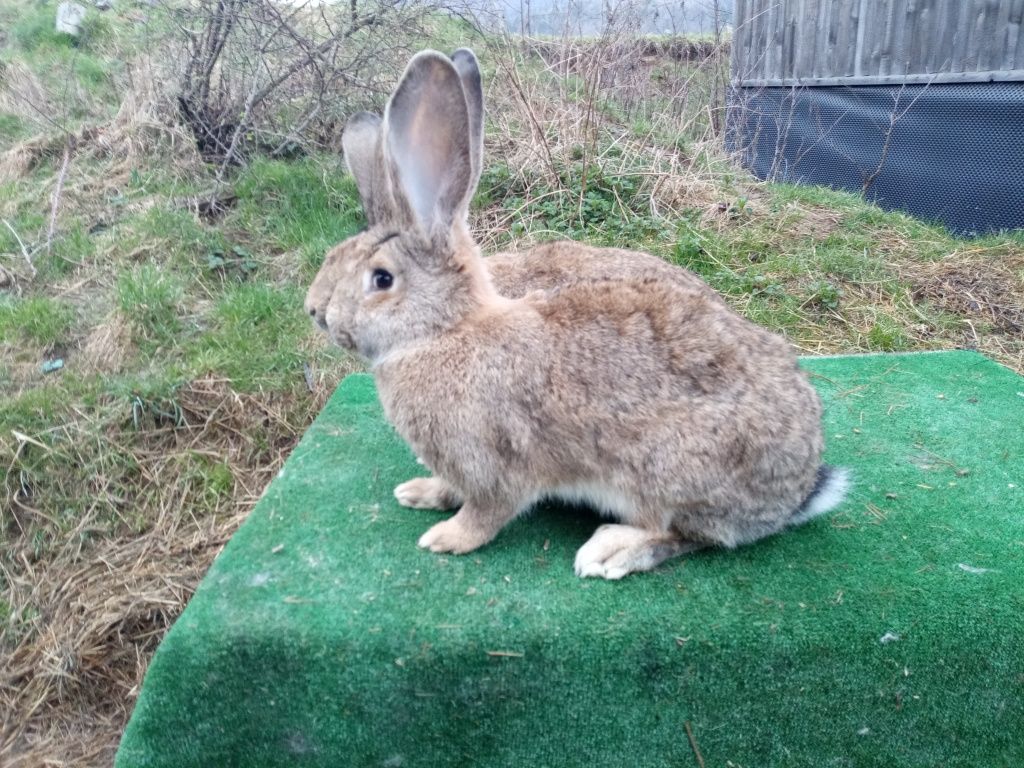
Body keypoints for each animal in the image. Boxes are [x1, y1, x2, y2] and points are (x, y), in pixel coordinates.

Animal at [303, 49, 847, 577]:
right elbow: (451, 488)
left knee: (689, 534)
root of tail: (798, 490)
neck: (443, 330)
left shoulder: (492, 463)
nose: (314, 311)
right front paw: (421, 493)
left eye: (381, 280)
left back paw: (611, 551)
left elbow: (488, 511)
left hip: (670, 474)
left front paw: (446, 538)